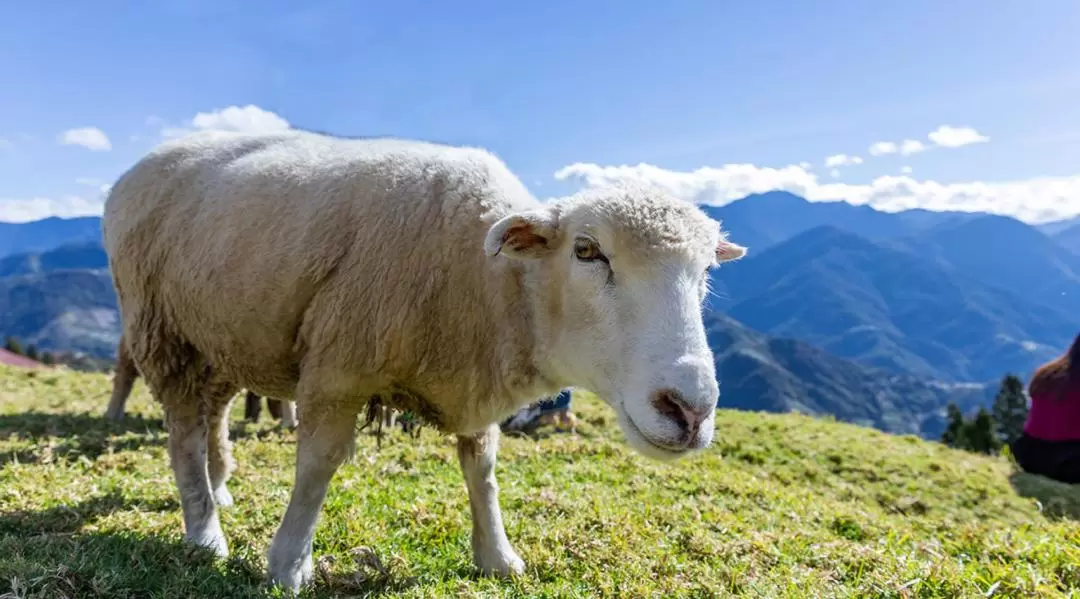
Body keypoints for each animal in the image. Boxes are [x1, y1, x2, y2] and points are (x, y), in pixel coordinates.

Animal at [101, 128, 747, 591]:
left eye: (705, 273)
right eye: (587, 251)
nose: (690, 410)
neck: (491, 279)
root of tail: (146, 160)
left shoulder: (474, 375)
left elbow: (482, 468)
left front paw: (497, 556)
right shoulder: (339, 364)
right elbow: (317, 468)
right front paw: (288, 564)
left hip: (223, 333)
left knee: (212, 413)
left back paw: (220, 488)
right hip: (162, 326)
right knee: (184, 431)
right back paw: (204, 528)